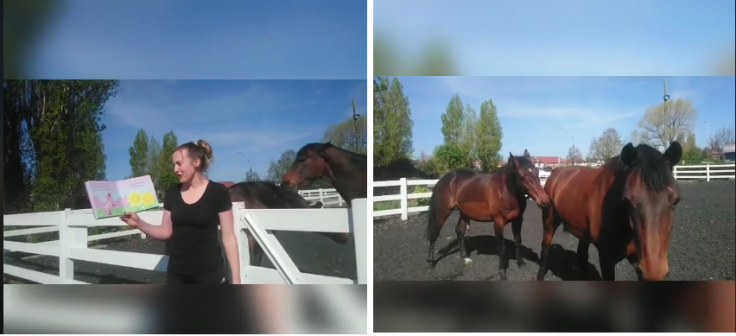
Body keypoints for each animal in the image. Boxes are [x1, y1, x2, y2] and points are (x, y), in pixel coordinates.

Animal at [422, 151, 548, 280]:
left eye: (537, 172)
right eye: (522, 176)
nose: (545, 200)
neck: (505, 191)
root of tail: (444, 179)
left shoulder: (518, 220)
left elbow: (518, 241)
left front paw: (521, 262)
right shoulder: (498, 222)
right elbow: (501, 247)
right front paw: (501, 272)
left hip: (463, 212)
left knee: (459, 231)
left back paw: (465, 257)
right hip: (443, 212)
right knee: (434, 234)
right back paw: (430, 262)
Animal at [536, 142, 684, 280]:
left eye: (676, 200)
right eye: (627, 201)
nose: (654, 272)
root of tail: (555, 173)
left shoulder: (637, 259)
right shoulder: (606, 259)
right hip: (549, 222)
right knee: (545, 248)